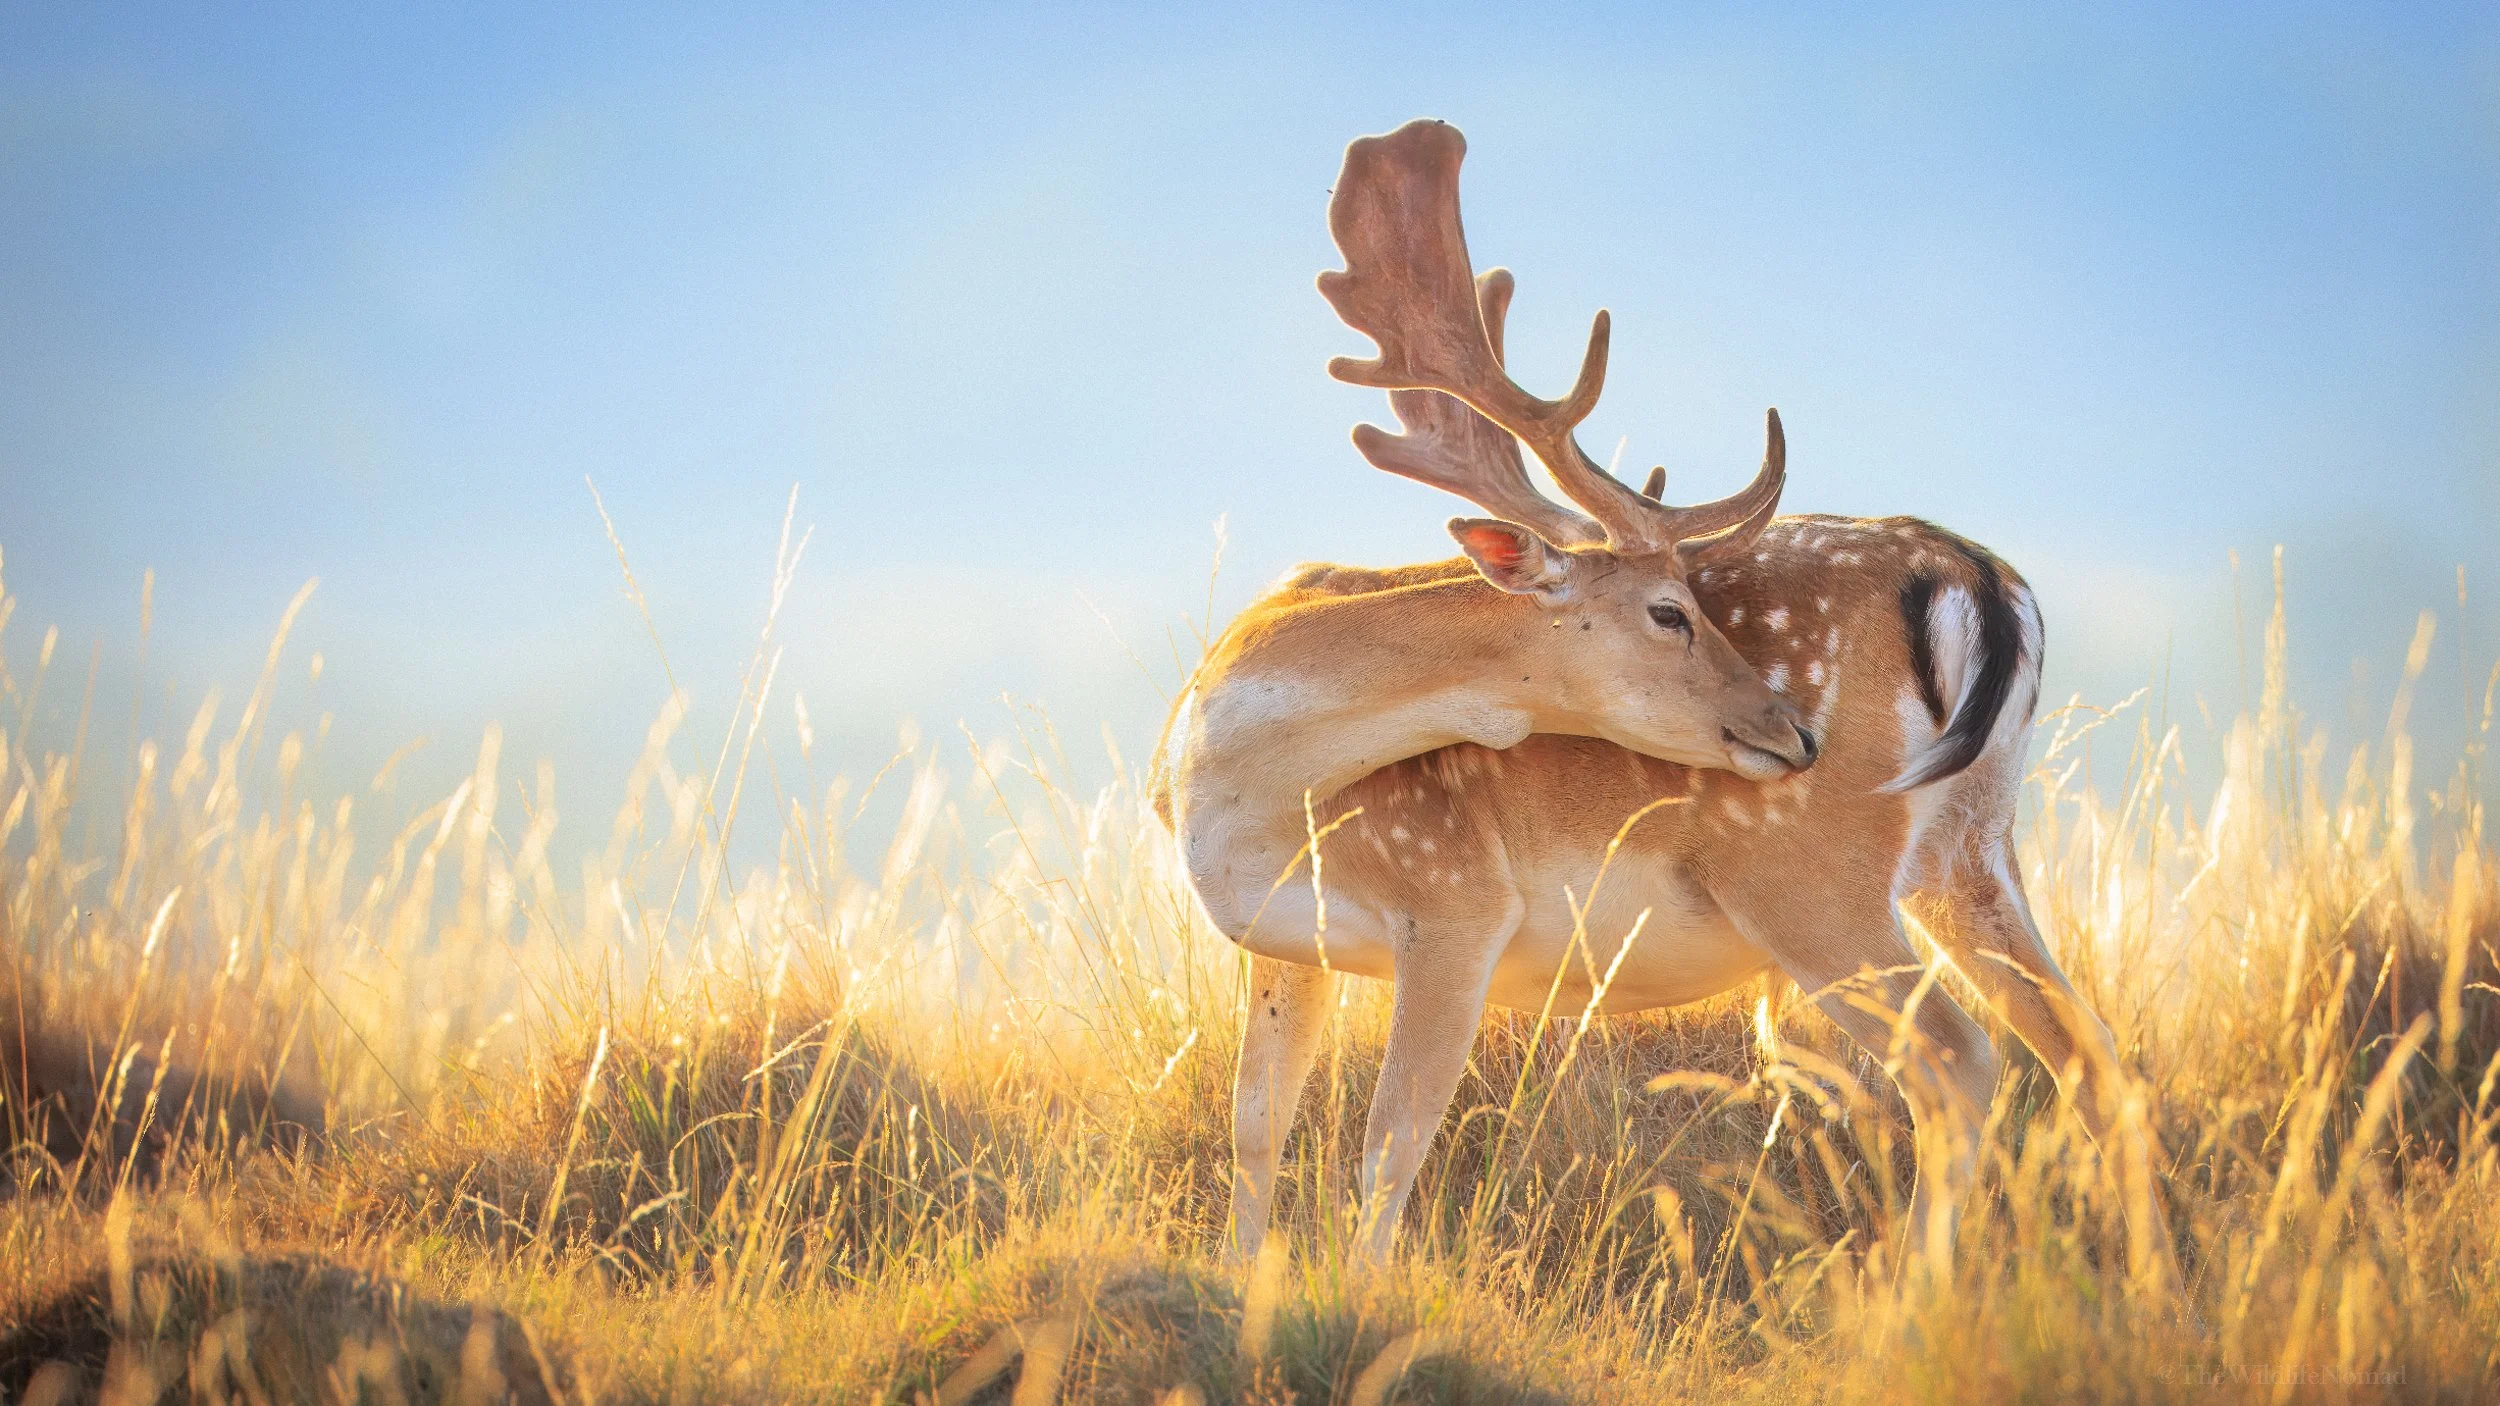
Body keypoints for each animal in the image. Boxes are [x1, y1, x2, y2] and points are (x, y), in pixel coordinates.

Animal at [1153, 120, 2160, 1282]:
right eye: (1669, 610)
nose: (1793, 731)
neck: (1233, 784)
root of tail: (1979, 577)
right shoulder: (1281, 945)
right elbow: (1256, 1125)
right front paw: (1242, 1284)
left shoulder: (1453, 899)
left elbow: (1389, 1138)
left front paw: (1359, 1295)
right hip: (1976, 849)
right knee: (2092, 1054)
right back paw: (2154, 1289)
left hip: (1813, 878)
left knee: (1959, 1060)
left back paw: (1906, 1298)